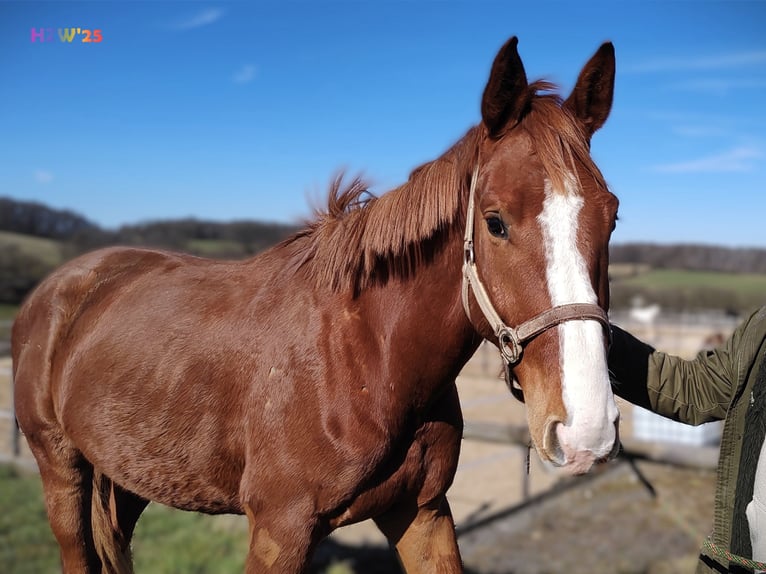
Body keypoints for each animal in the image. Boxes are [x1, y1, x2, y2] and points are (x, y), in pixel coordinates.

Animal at [12, 38, 620, 572]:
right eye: (495, 222)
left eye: (612, 217)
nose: (586, 431)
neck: (367, 358)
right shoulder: (280, 531)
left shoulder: (423, 512)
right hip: (61, 470)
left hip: (130, 476)